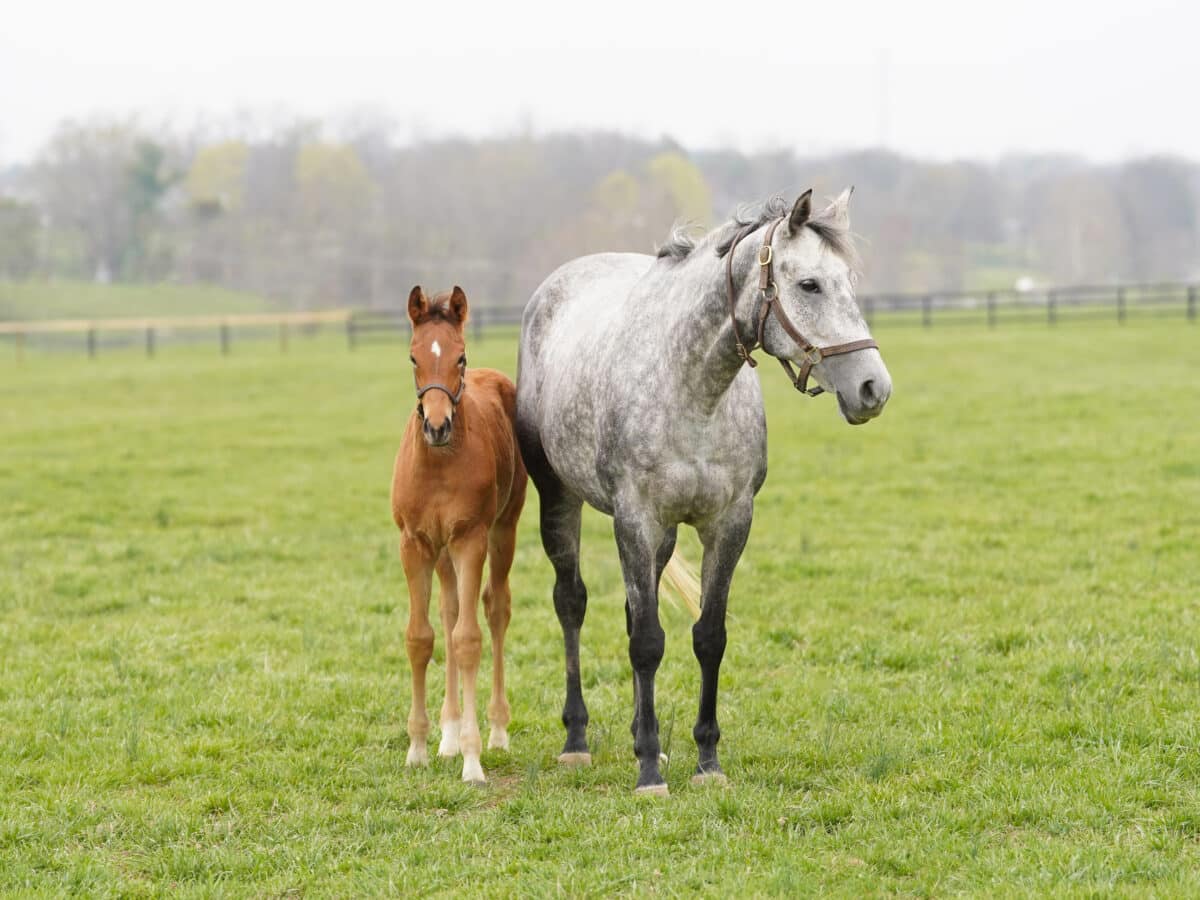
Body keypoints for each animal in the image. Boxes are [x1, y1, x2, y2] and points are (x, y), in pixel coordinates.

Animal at [391, 286, 528, 782]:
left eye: (460, 357)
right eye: (413, 357)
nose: (436, 425)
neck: (438, 464)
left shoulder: (470, 538)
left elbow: (469, 640)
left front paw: (473, 760)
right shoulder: (415, 543)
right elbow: (422, 638)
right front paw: (418, 748)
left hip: (502, 530)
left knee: (495, 609)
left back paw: (497, 731)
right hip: (443, 551)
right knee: (449, 615)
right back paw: (447, 736)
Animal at [516, 187, 892, 792]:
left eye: (849, 282)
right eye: (810, 284)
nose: (873, 388)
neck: (691, 387)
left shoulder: (728, 523)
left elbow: (706, 636)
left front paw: (705, 761)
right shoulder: (635, 520)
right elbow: (647, 643)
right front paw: (649, 772)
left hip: (664, 535)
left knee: (631, 611)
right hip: (559, 498)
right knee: (571, 603)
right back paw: (577, 740)